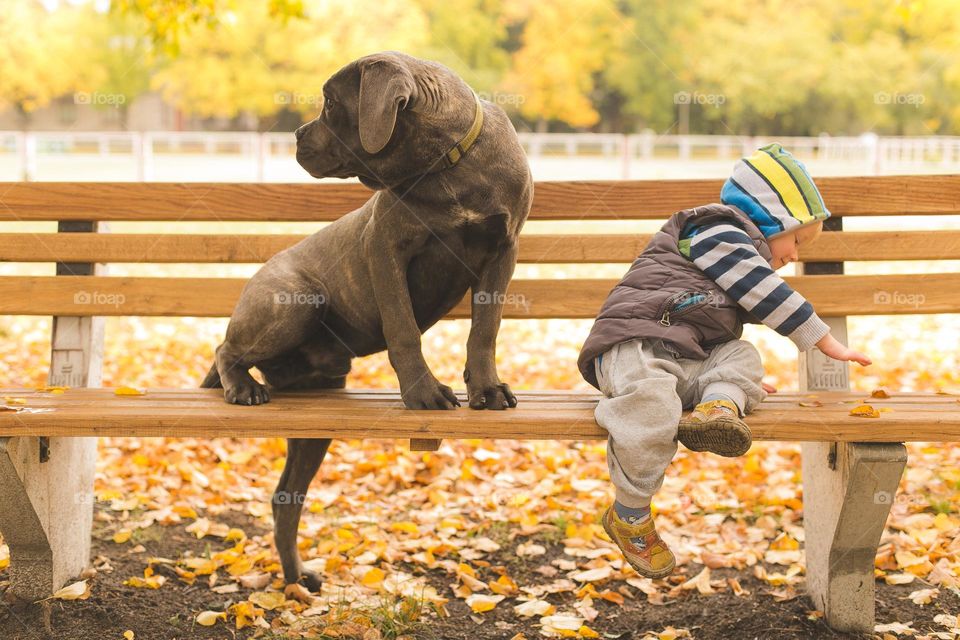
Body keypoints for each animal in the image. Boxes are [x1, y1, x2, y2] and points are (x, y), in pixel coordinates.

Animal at [201, 51, 532, 592]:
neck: (446, 165)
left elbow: (485, 328)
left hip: (314, 419)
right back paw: (242, 387)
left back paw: (296, 578)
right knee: (225, 349)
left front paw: (486, 389)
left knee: (285, 499)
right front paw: (423, 392)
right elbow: (403, 328)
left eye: (332, 103)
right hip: (298, 301)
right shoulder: (387, 248)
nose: (296, 133)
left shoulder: (503, 251)